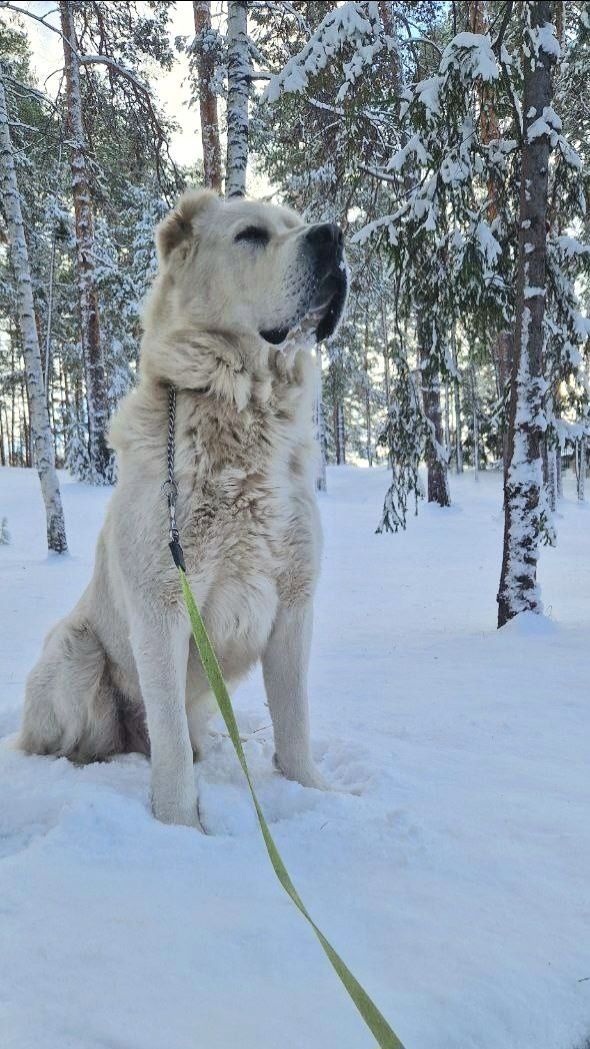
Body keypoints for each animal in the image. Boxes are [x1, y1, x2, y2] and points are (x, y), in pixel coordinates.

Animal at [20, 188, 346, 826]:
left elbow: (294, 720)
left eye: (297, 225)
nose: (335, 237)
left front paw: (313, 791)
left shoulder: (294, 603)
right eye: (251, 234)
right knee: (74, 739)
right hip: (75, 650)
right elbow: (167, 735)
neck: (242, 418)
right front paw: (178, 824)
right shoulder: (162, 607)